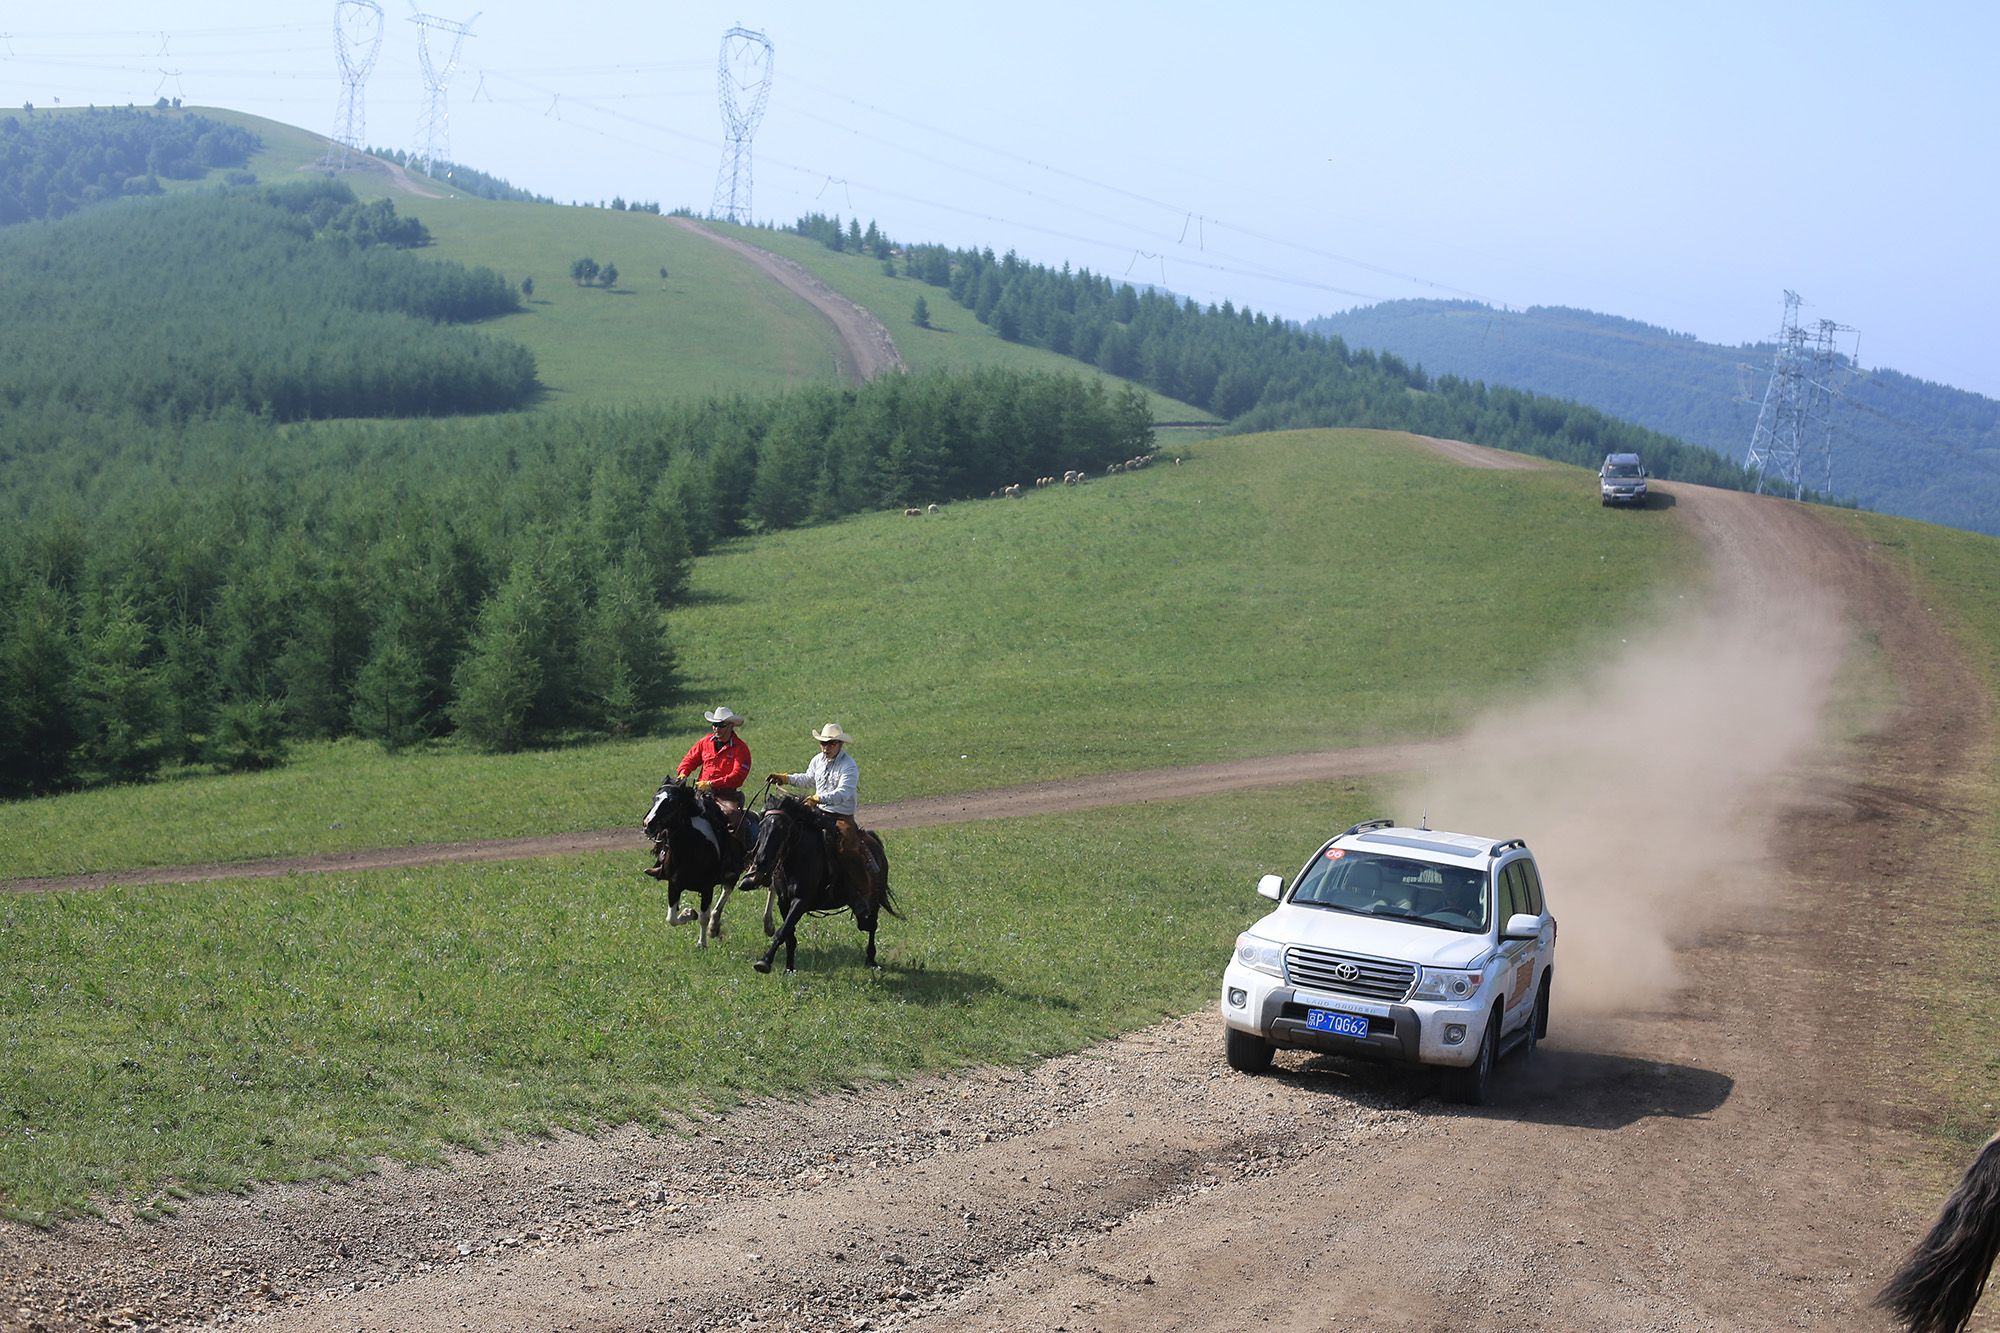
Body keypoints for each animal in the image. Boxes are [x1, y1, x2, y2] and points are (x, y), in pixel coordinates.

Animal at [640, 772, 764, 948]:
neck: (691, 848)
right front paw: (688, 913)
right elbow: (671, 918)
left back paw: (714, 926)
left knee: (726, 892)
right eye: (655, 798)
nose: (647, 824)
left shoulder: (707, 888)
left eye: (671, 802)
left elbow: (703, 917)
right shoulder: (674, 885)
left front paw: (701, 944)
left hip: (732, 874)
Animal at [732, 788, 896, 964]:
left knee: (872, 924)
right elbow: (789, 937)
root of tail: (874, 843)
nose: (761, 859)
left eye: (782, 828)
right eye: (762, 826)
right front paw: (788, 968)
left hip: (873, 901)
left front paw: (765, 962)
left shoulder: (800, 901)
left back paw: (871, 959)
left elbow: (782, 932)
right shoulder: (783, 902)